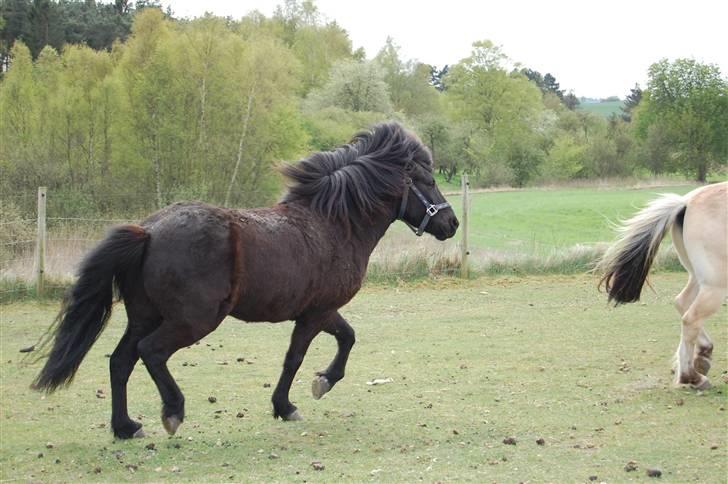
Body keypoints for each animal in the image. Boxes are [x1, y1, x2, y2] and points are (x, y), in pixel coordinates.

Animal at [34, 121, 458, 438]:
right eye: (427, 179)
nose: (451, 223)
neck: (332, 225)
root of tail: (148, 231)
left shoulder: (321, 310)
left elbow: (347, 337)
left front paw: (323, 382)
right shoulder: (315, 314)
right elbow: (296, 358)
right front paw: (288, 404)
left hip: (144, 315)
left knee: (121, 361)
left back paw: (126, 427)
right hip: (193, 320)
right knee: (150, 352)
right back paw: (172, 411)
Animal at [600, 182, 724, 390]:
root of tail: (686, 202)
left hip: (697, 277)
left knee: (682, 303)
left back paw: (700, 359)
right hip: (714, 285)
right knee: (691, 318)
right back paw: (693, 377)